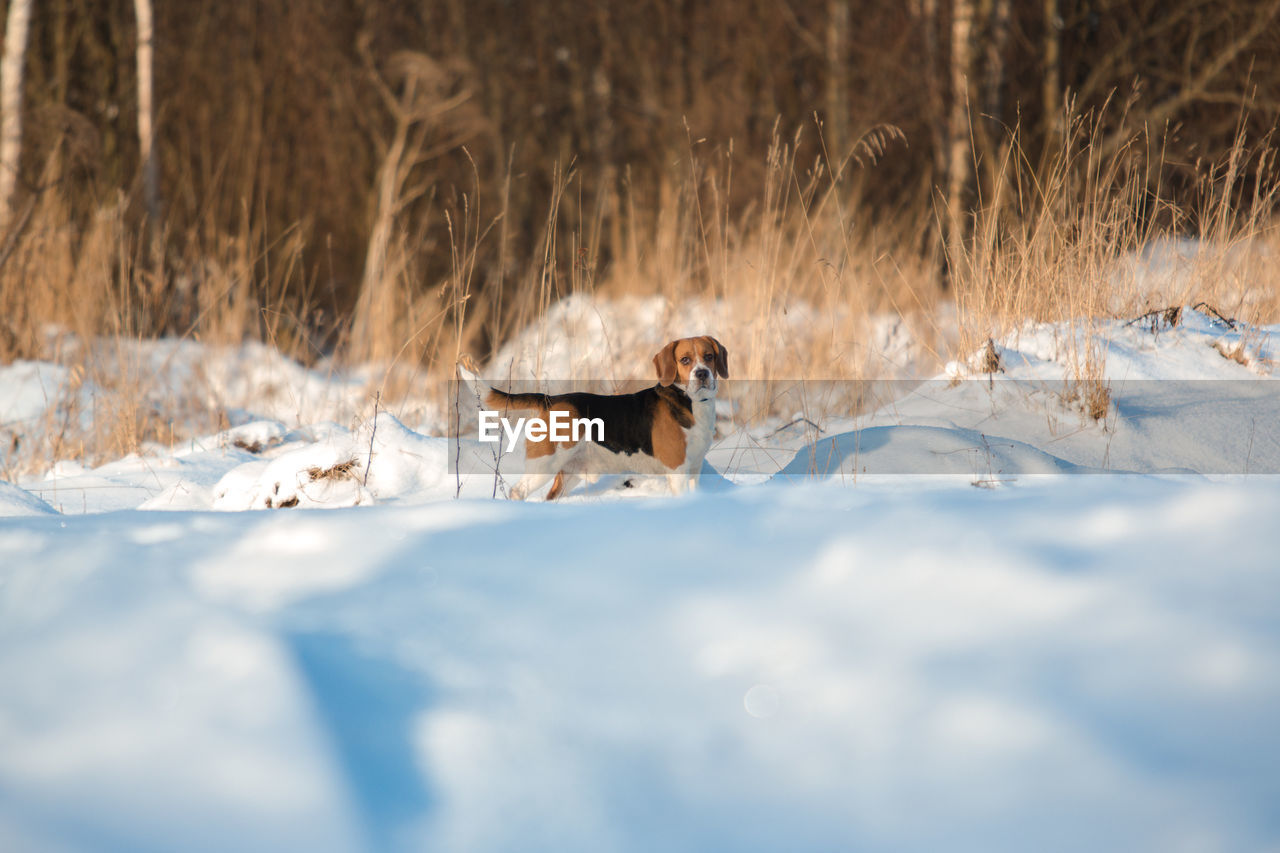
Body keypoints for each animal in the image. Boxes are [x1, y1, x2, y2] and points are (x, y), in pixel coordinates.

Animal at [460, 335, 727, 499]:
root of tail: (549, 400)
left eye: (709, 356)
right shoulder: (677, 470)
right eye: (685, 360)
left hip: (570, 473)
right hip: (544, 465)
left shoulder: (694, 468)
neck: (690, 401)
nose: (702, 374)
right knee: (518, 491)